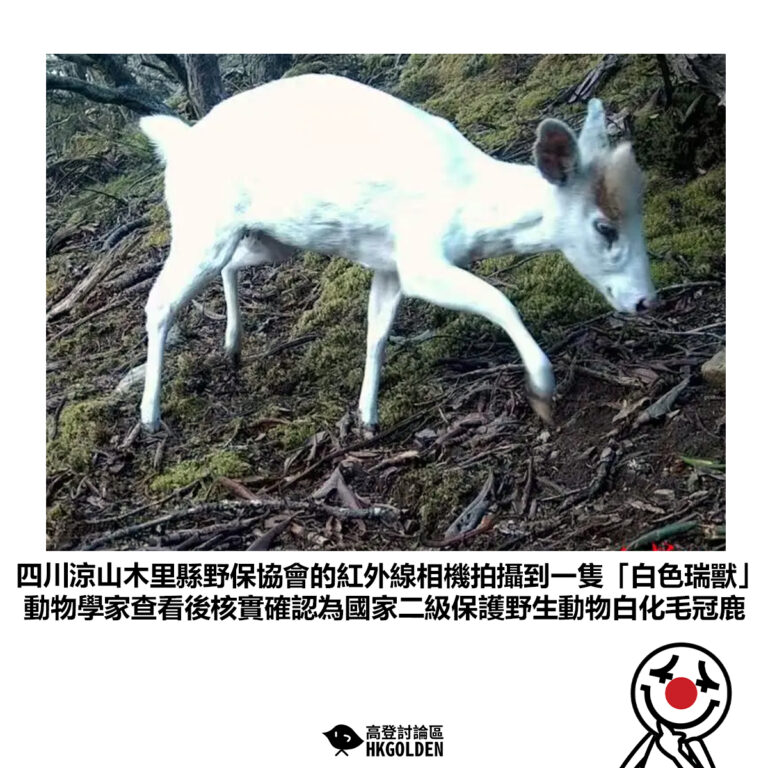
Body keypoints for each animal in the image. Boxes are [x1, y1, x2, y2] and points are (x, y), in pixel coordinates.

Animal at [138, 73, 655, 433]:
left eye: (640, 211)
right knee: (159, 301)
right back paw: (150, 416)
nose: (647, 299)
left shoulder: (388, 264)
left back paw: (233, 344)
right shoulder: (419, 257)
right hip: (202, 225)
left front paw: (367, 417)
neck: (470, 206)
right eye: (604, 226)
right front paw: (543, 388)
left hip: (268, 239)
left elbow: (378, 332)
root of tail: (178, 145)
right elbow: (499, 299)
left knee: (231, 264)